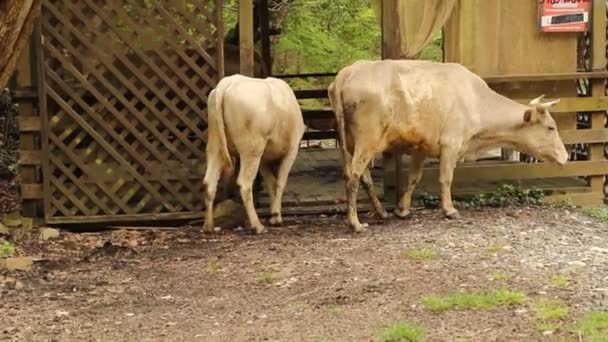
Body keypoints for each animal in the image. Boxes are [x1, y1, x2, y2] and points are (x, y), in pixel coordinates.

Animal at [204, 74, 306, 235]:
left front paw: (273, 215)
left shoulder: (264, 159)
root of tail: (228, 82)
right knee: (244, 183)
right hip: (252, 149)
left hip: (215, 146)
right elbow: (280, 182)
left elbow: (271, 183)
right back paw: (257, 226)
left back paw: (208, 226)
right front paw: (276, 217)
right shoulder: (291, 150)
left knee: (209, 182)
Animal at [328, 60, 568, 234]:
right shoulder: (451, 143)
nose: (565, 156)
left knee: (363, 177)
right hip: (367, 140)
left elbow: (414, 178)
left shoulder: (421, 147)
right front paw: (449, 209)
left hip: (351, 143)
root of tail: (346, 73)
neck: (475, 100)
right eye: (551, 127)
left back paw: (380, 212)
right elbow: (446, 178)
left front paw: (402, 209)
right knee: (353, 176)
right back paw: (355, 223)